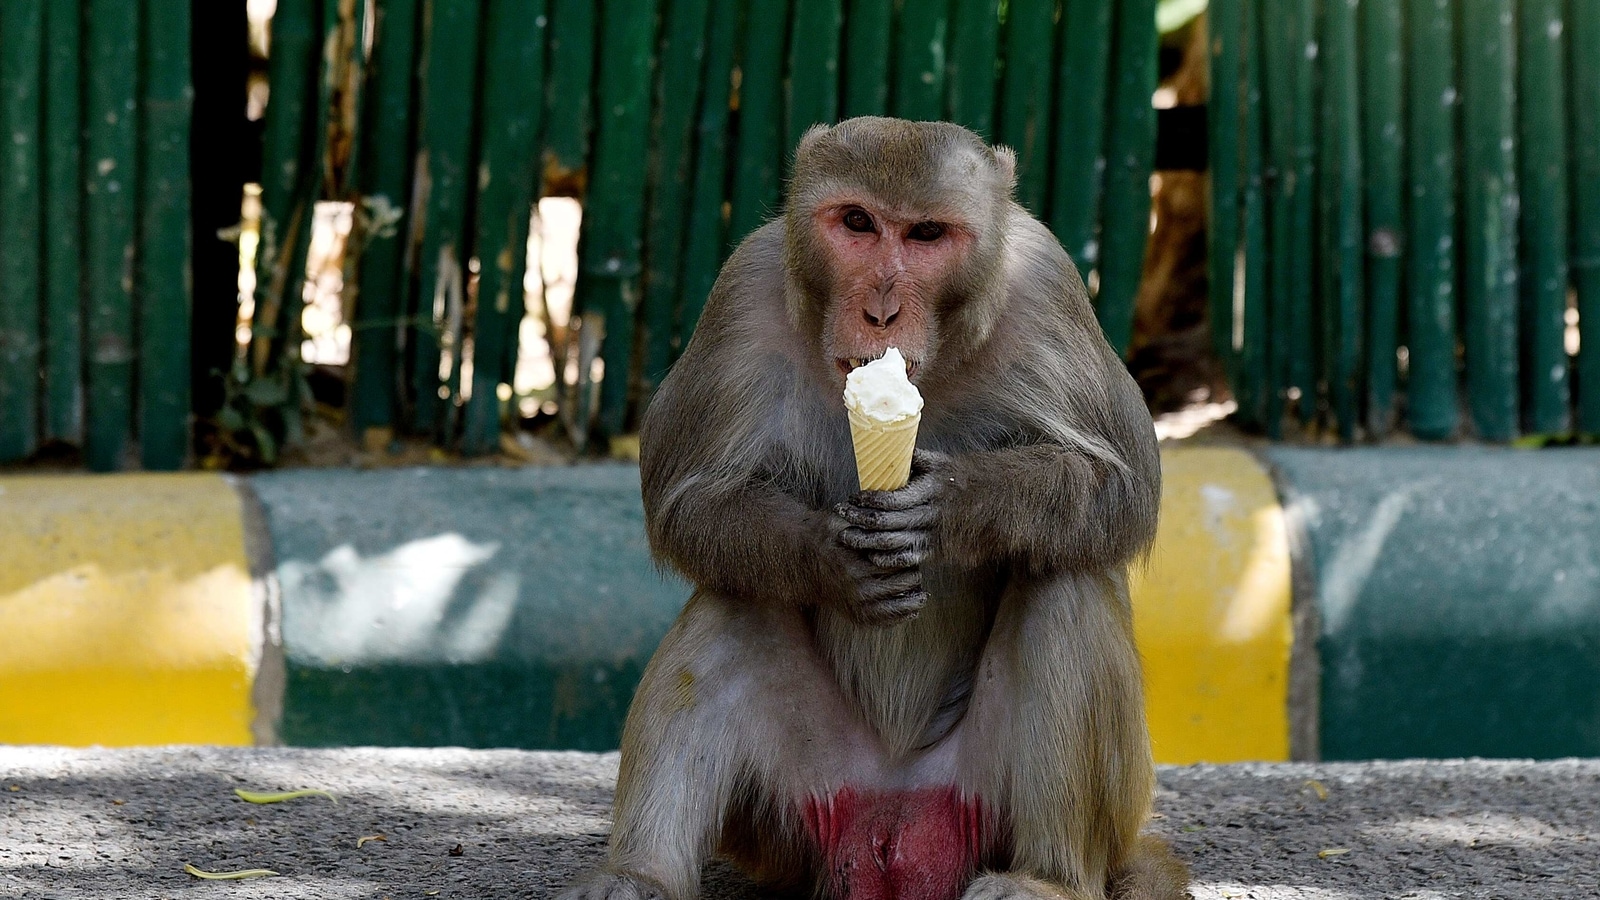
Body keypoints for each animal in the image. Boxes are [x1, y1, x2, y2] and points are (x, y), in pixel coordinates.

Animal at [563, 117, 1190, 896]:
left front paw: (947, 510)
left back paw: (1048, 879)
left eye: (926, 234)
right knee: (733, 602)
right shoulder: (743, 287)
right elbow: (689, 505)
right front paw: (830, 558)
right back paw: (639, 873)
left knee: (1065, 575)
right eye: (858, 223)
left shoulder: (1049, 287)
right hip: (791, 819)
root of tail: (894, 807)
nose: (881, 310)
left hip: (991, 798)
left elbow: (1123, 487)